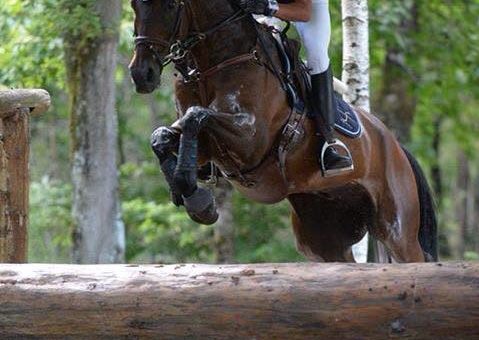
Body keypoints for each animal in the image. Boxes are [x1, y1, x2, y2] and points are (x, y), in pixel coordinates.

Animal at [128, 0, 438, 262]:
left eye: (170, 5)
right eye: (133, 5)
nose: (141, 74)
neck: (213, 62)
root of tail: (396, 146)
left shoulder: (250, 139)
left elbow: (197, 116)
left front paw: (197, 199)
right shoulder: (208, 149)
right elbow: (161, 137)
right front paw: (192, 196)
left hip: (396, 230)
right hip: (323, 237)